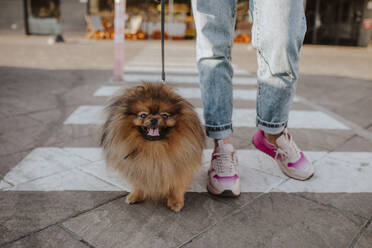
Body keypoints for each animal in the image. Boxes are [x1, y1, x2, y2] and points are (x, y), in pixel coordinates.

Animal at [100, 83, 205, 211]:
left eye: (164, 115)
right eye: (143, 115)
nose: (154, 119)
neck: (154, 148)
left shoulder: (179, 167)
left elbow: (177, 187)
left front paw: (175, 202)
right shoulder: (139, 167)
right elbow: (139, 183)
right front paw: (136, 195)